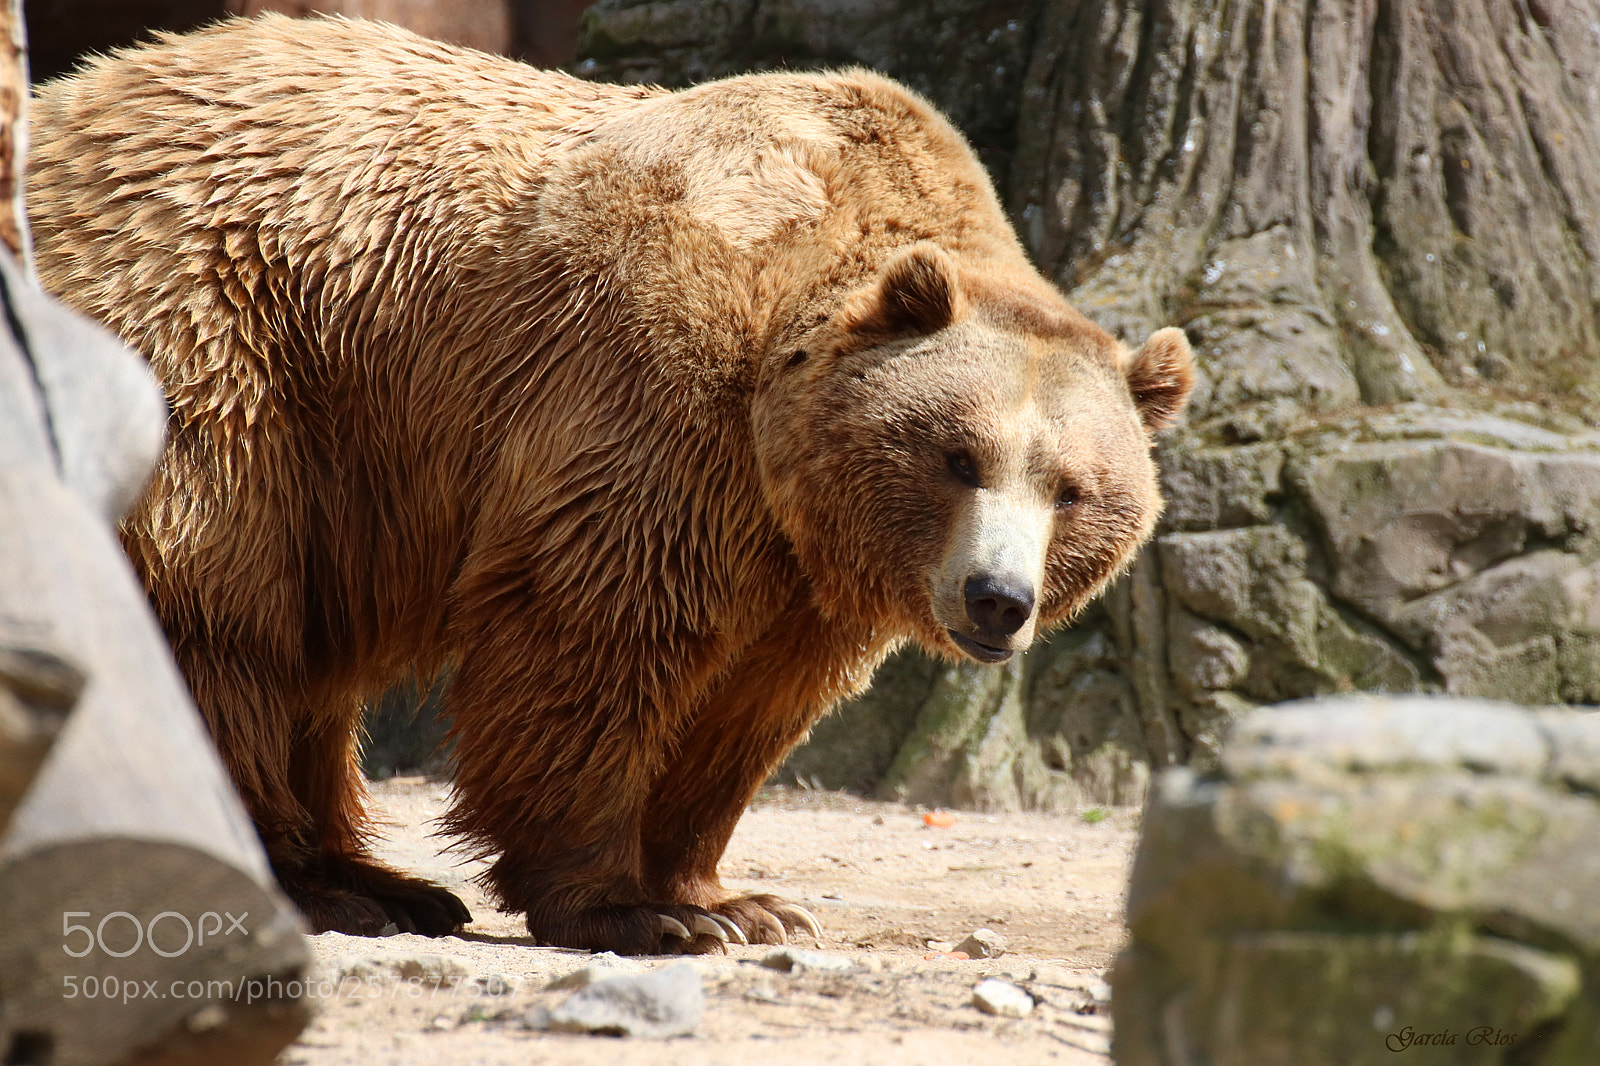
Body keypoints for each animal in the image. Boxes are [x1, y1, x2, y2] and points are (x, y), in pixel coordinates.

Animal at [26, 14, 1195, 953]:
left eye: (1073, 489)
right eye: (959, 455)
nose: (997, 600)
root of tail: (63, 104)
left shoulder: (802, 566)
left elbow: (747, 708)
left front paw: (733, 896)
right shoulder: (653, 389)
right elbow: (596, 632)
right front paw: (635, 909)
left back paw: (378, 879)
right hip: (213, 348)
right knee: (214, 608)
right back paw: (309, 880)